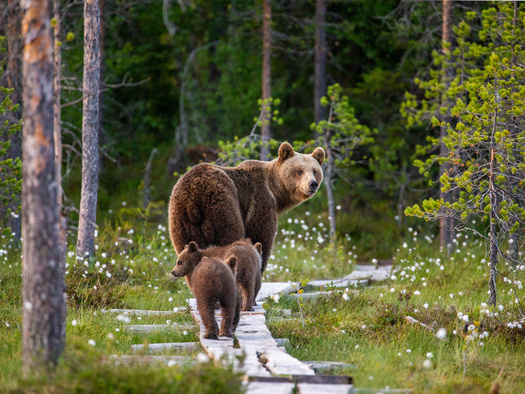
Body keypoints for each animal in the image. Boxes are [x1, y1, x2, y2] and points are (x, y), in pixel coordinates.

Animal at [169, 142, 324, 274]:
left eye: (315, 171)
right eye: (299, 171)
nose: (312, 184)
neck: (275, 192)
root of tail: (193, 197)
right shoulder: (260, 201)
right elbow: (259, 236)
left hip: (181, 220)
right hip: (222, 205)